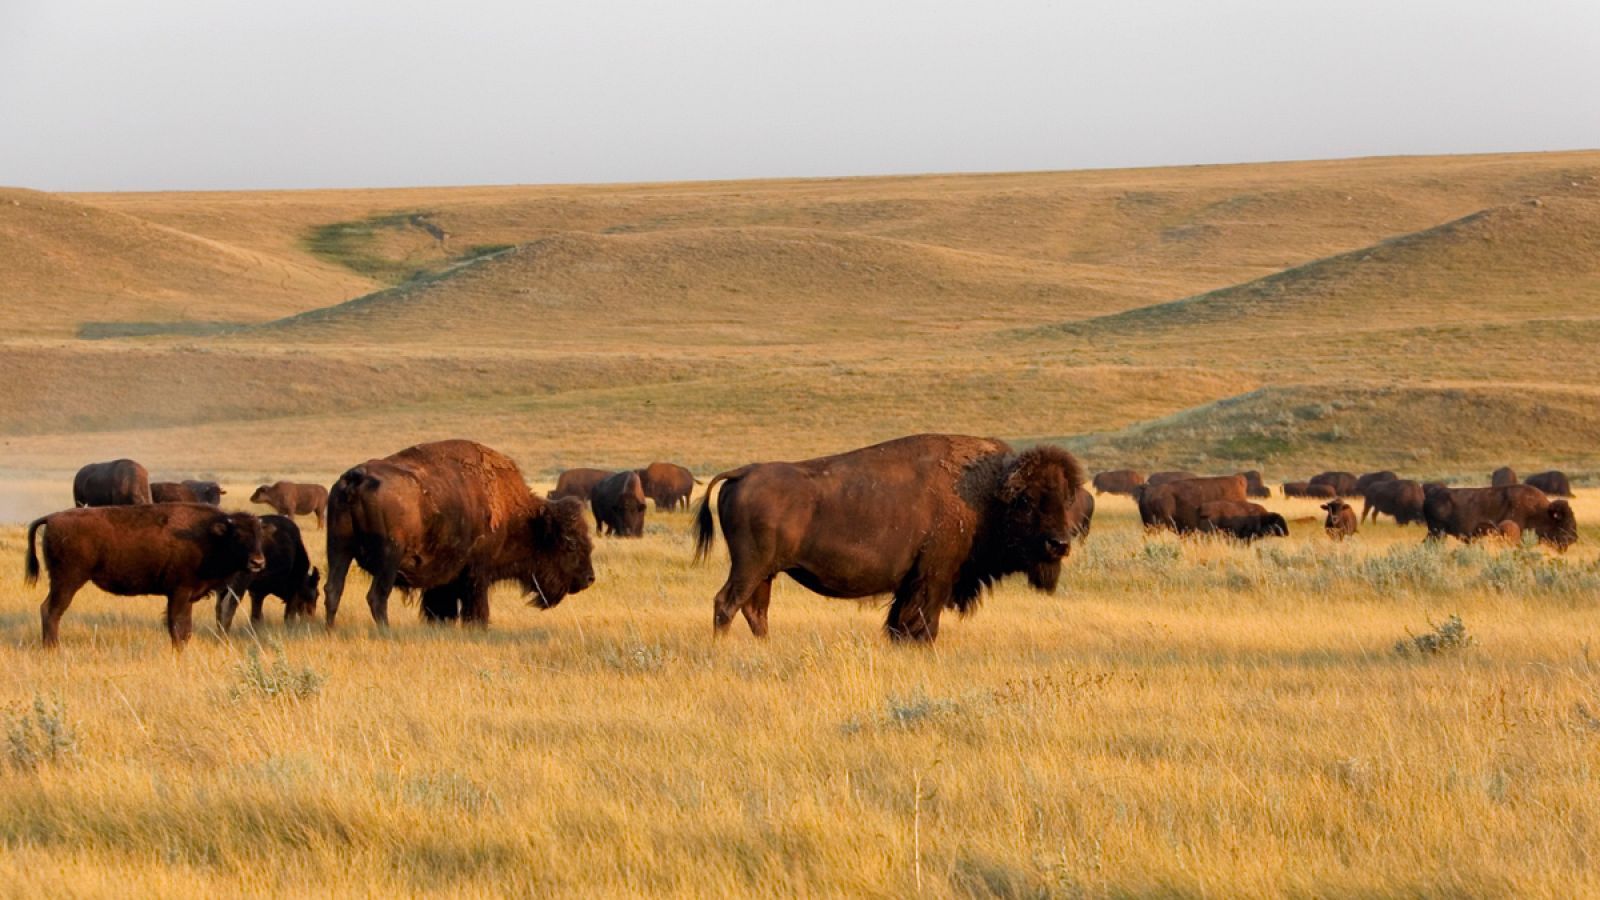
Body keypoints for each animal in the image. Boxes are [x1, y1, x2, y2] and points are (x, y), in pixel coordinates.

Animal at [24, 506, 268, 643]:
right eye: (237, 535)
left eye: (259, 535)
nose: (258, 562)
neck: (208, 535)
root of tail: (52, 518)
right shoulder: (178, 593)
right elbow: (177, 628)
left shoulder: (187, 597)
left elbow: (186, 629)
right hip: (67, 581)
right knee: (51, 611)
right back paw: (53, 648)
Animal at [323, 438, 595, 624]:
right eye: (570, 544)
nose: (589, 578)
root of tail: (355, 479)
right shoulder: (477, 573)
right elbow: (477, 610)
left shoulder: (445, 580)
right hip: (389, 558)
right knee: (377, 597)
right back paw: (385, 631)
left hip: (338, 547)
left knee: (333, 590)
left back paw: (330, 629)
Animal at [691, 432, 1088, 637]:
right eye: (1027, 500)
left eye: (1068, 497)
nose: (1059, 544)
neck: (987, 492)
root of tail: (742, 472)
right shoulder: (933, 579)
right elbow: (921, 625)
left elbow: (900, 623)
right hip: (749, 567)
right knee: (726, 604)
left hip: (765, 572)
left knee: (755, 611)